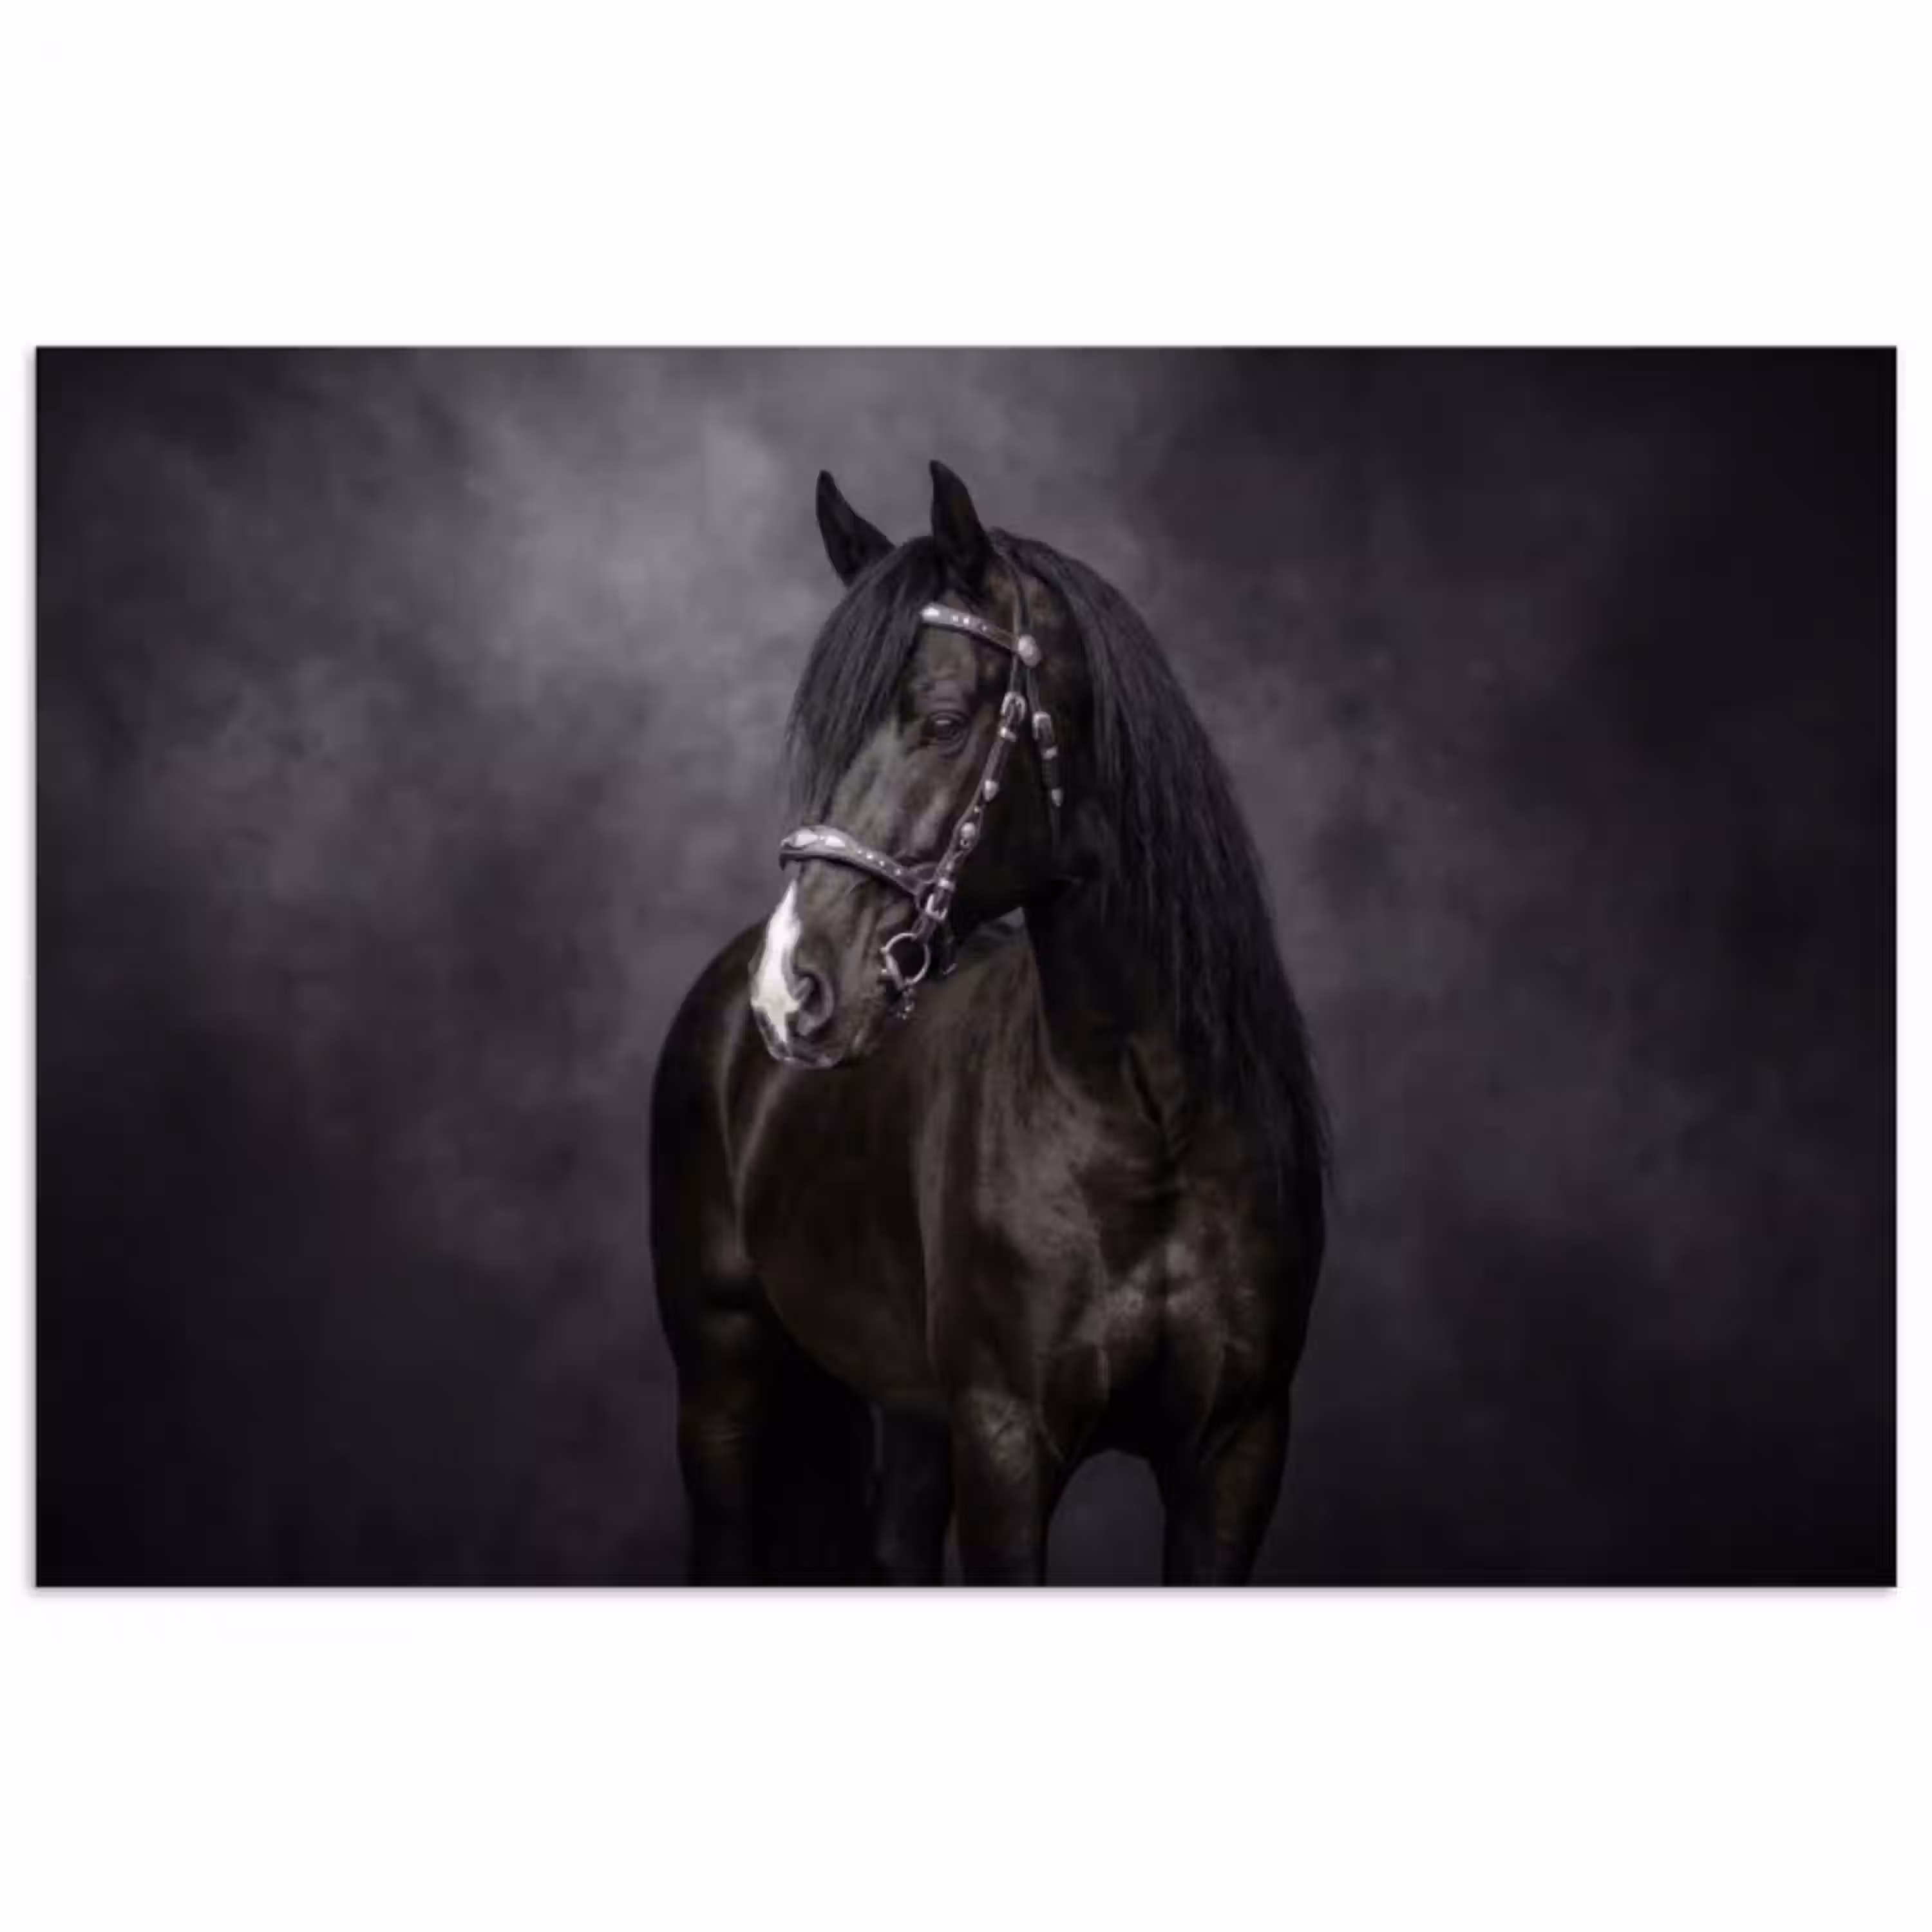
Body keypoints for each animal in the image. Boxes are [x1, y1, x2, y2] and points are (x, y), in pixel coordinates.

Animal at [649, 462, 1326, 1584]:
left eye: (940, 721)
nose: (792, 987)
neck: (1151, 1119)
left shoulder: (1238, 1448)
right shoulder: (1006, 1439)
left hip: (912, 1414)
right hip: (721, 1386)